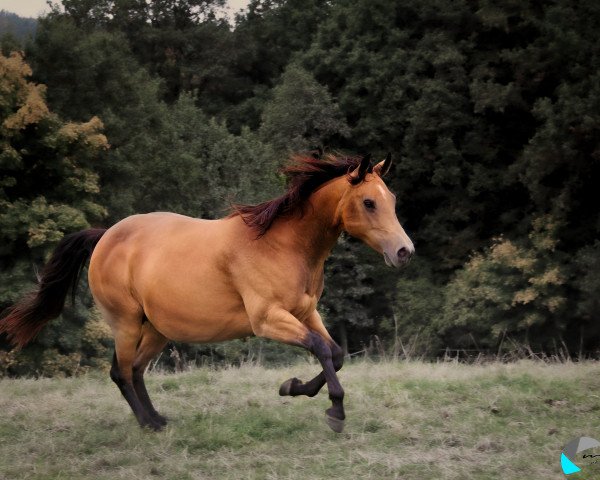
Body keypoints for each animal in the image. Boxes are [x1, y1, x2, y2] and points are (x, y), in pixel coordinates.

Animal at [0, 152, 412, 434]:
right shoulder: (268, 320)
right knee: (121, 372)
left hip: (156, 330)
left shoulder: (306, 313)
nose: (404, 252)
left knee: (135, 370)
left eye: (392, 199)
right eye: (369, 202)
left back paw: (157, 418)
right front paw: (334, 411)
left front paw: (292, 387)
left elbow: (336, 353)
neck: (283, 245)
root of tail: (104, 237)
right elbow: (322, 349)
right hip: (126, 324)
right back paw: (148, 424)